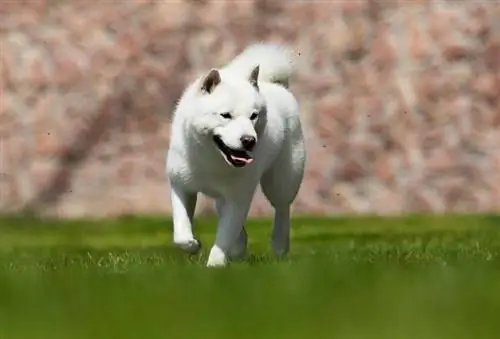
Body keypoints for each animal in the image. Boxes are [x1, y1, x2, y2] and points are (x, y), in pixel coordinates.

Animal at [165, 42, 304, 266]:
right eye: (225, 115)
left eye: (253, 116)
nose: (249, 140)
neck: (211, 159)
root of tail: (275, 85)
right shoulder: (181, 186)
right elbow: (181, 232)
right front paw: (193, 245)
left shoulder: (239, 197)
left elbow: (224, 235)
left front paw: (215, 264)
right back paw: (239, 249)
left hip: (282, 181)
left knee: (282, 209)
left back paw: (278, 246)